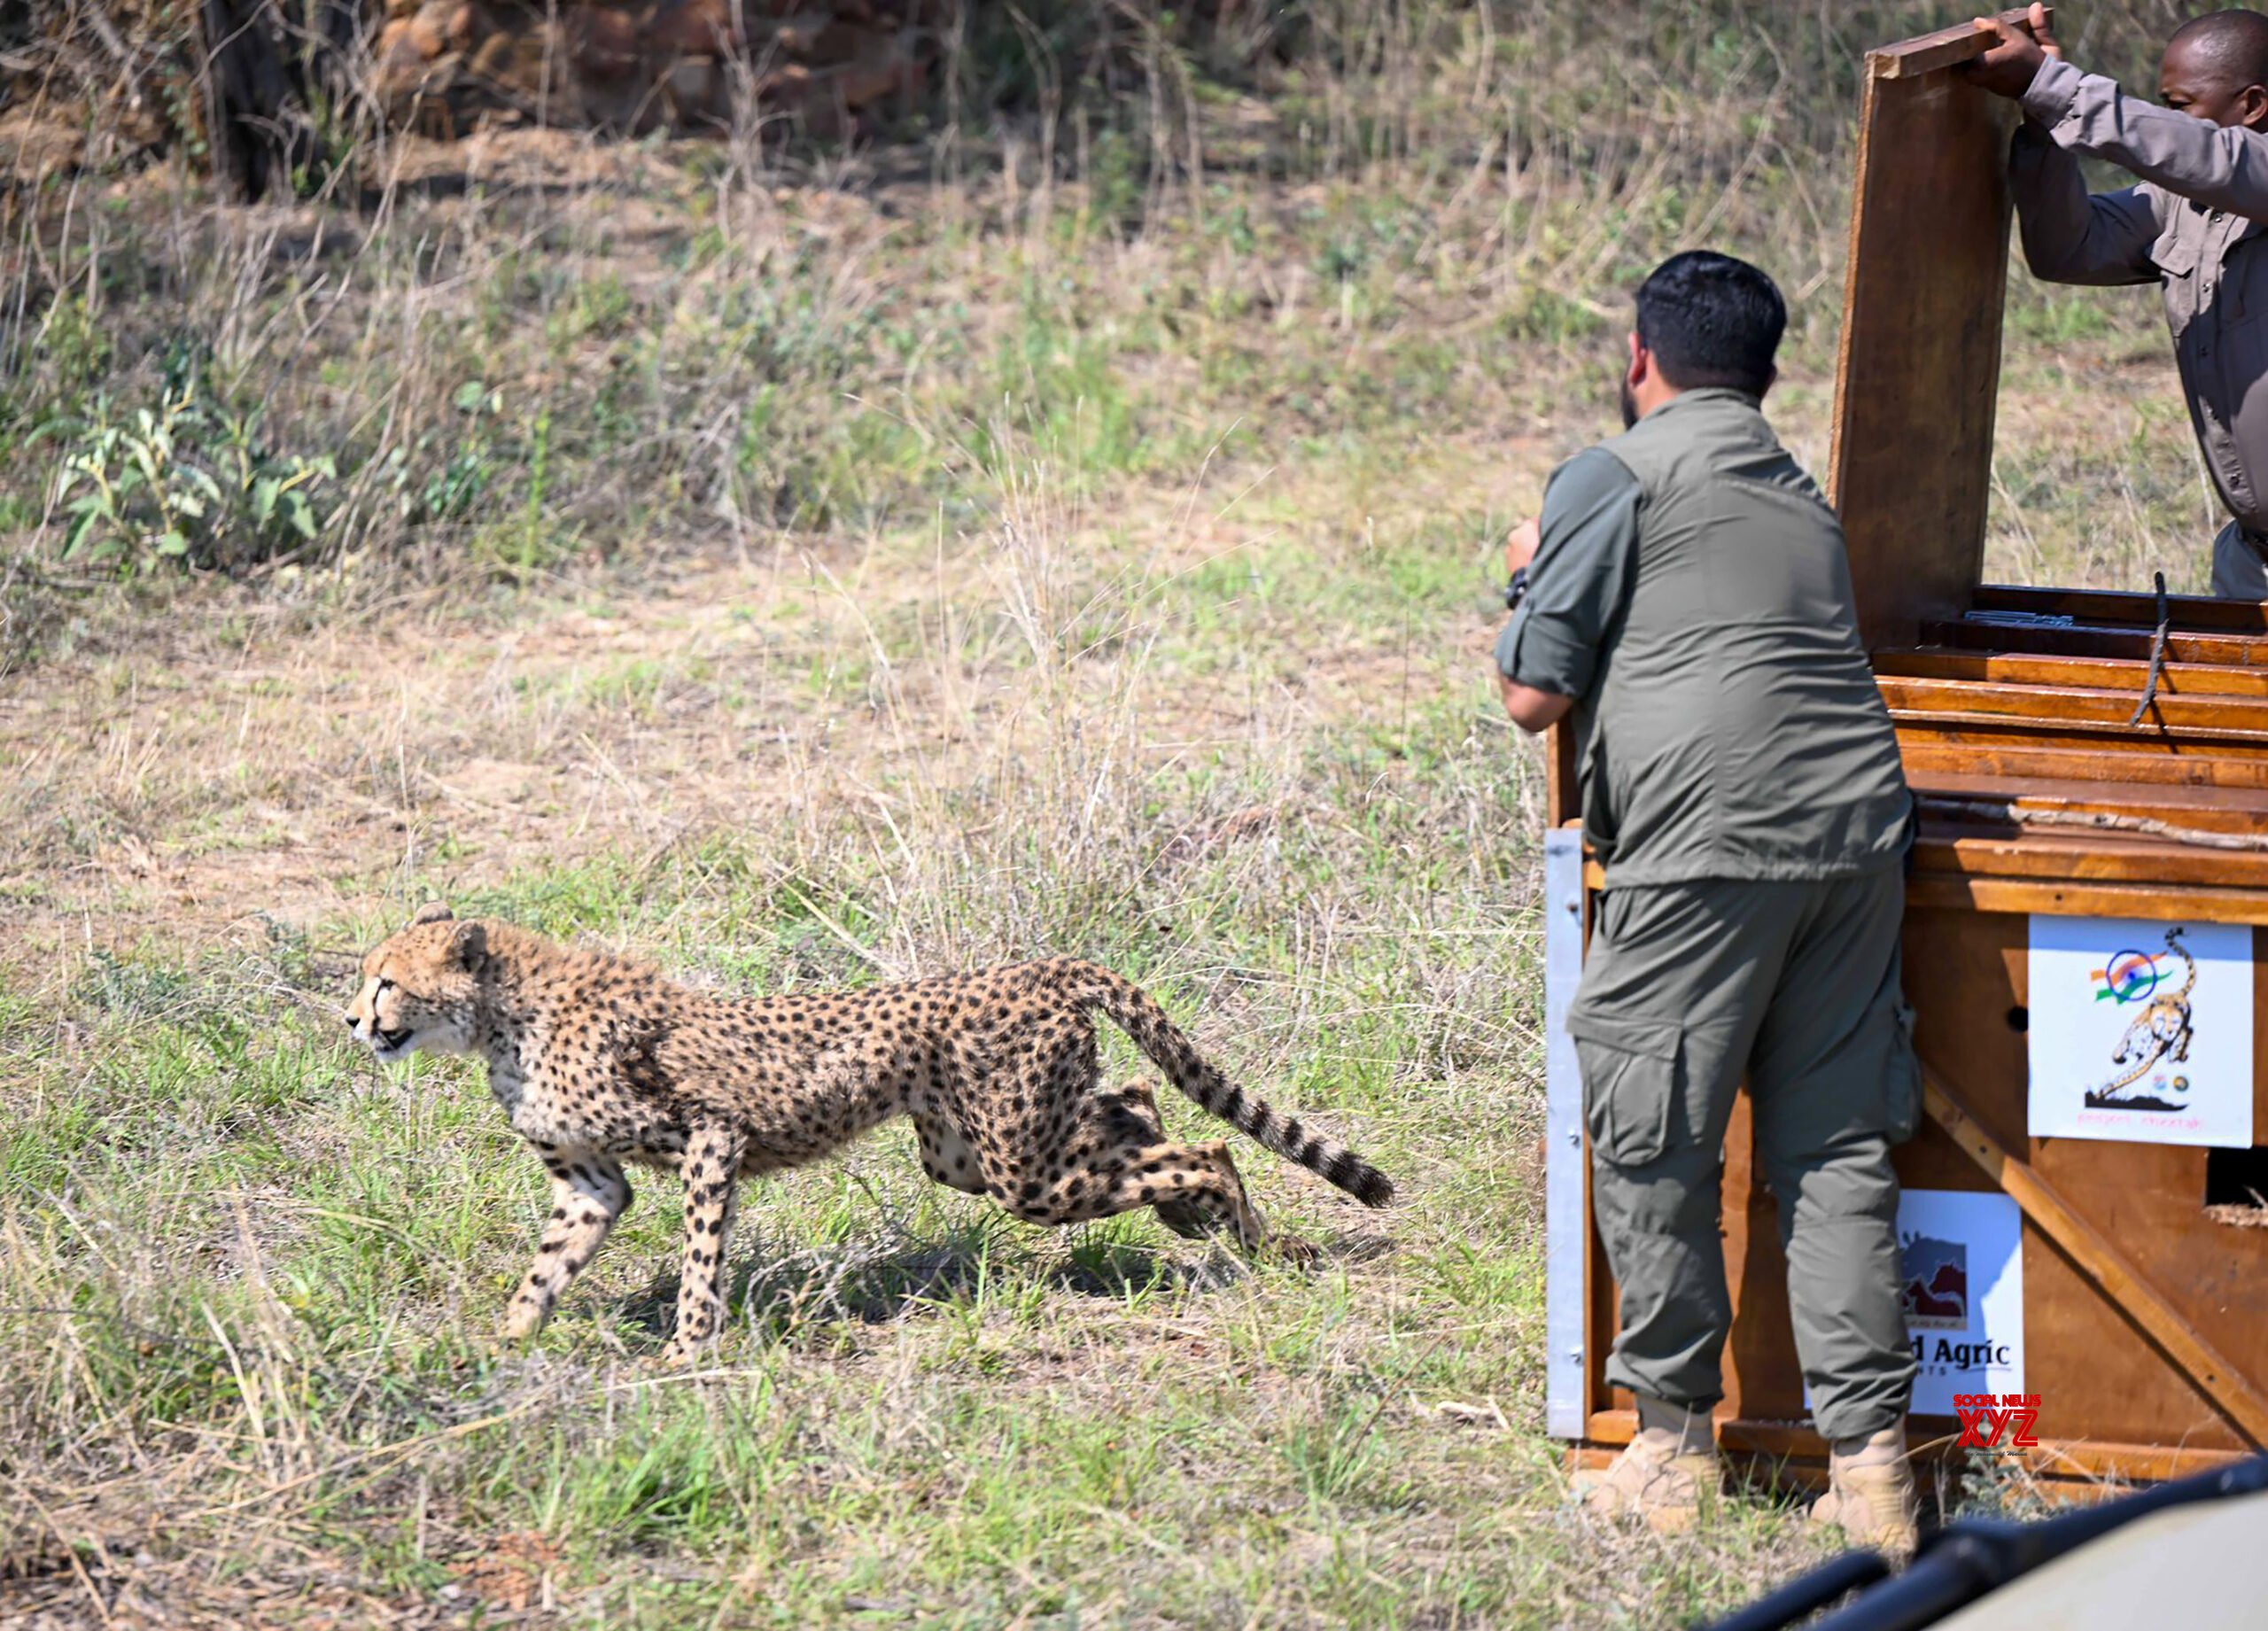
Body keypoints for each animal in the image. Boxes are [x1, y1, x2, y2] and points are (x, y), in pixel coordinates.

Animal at [345, 904, 1396, 1364]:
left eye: (387, 979)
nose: (352, 1019)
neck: (501, 1014)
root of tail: (1038, 964)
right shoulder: (595, 1183)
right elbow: (545, 1268)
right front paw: (503, 1344)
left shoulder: (710, 1136)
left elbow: (698, 1262)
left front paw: (686, 1357)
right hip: (973, 1152)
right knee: (1138, 1102)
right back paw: (1217, 1227)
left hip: (1018, 1167)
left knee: (1202, 1145)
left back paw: (1244, 1234)